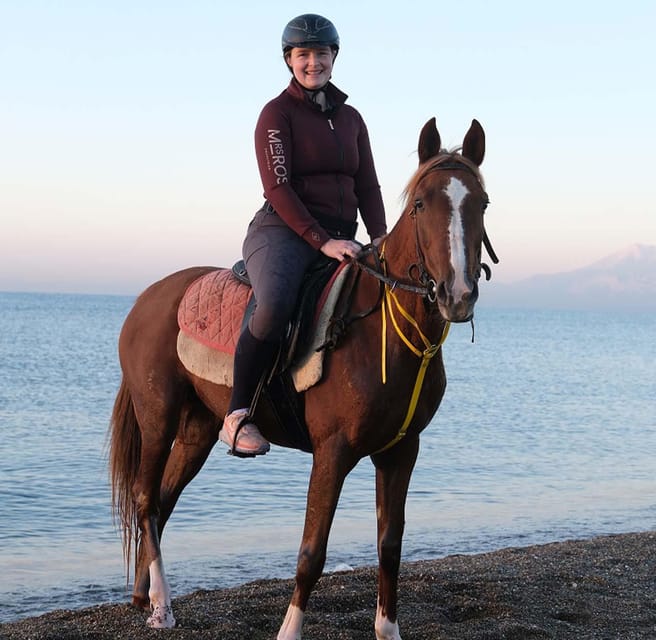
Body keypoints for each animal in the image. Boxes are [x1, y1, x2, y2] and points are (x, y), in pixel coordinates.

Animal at [109, 116, 496, 639]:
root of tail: (146, 299)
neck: (381, 330)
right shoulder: (332, 452)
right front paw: (289, 632)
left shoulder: (400, 451)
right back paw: (162, 606)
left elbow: (390, 547)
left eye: (482, 203)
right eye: (420, 204)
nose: (458, 294)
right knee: (146, 499)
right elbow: (312, 553)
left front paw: (388, 629)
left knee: (163, 501)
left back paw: (144, 596)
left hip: (197, 430)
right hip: (158, 416)